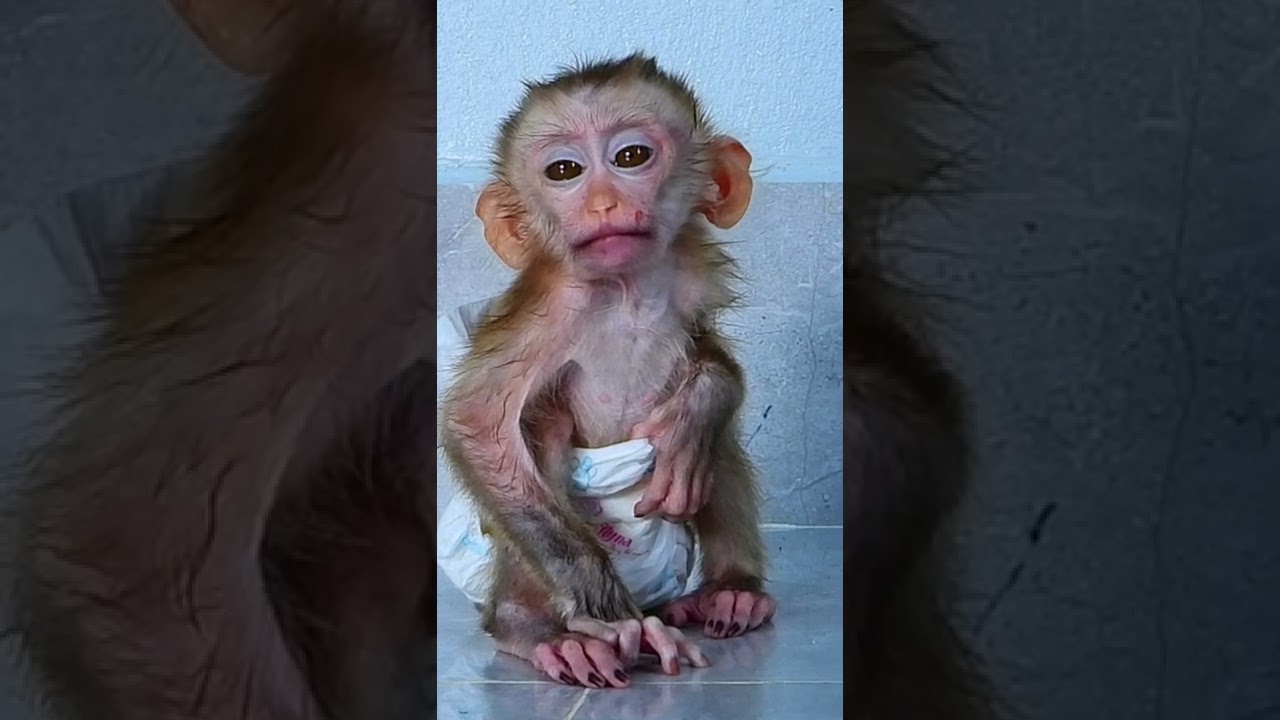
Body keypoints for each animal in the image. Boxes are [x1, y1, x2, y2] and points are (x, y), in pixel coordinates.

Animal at [440, 54, 777, 689]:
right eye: (564, 170)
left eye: (631, 157)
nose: (602, 205)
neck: (623, 293)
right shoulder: (550, 309)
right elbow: (479, 420)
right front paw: (607, 612)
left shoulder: (690, 275)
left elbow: (708, 358)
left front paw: (700, 408)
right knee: (540, 425)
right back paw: (534, 627)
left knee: (714, 449)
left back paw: (729, 591)